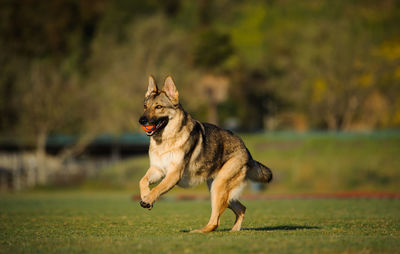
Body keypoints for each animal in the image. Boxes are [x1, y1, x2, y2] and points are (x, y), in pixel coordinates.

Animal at [138, 75, 272, 232]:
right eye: (145, 106)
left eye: (158, 107)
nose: (141, 120)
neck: (166, 139)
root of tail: (247, 151)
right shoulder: (157, 170)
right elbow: (143, 181)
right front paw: (146, 197)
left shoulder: (173, 174)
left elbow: (157, 188)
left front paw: (148, 199)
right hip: (218, 189)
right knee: (241, 208)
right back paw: (234, 231)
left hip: (218, 187)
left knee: (216, 221)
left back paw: (200, 231)